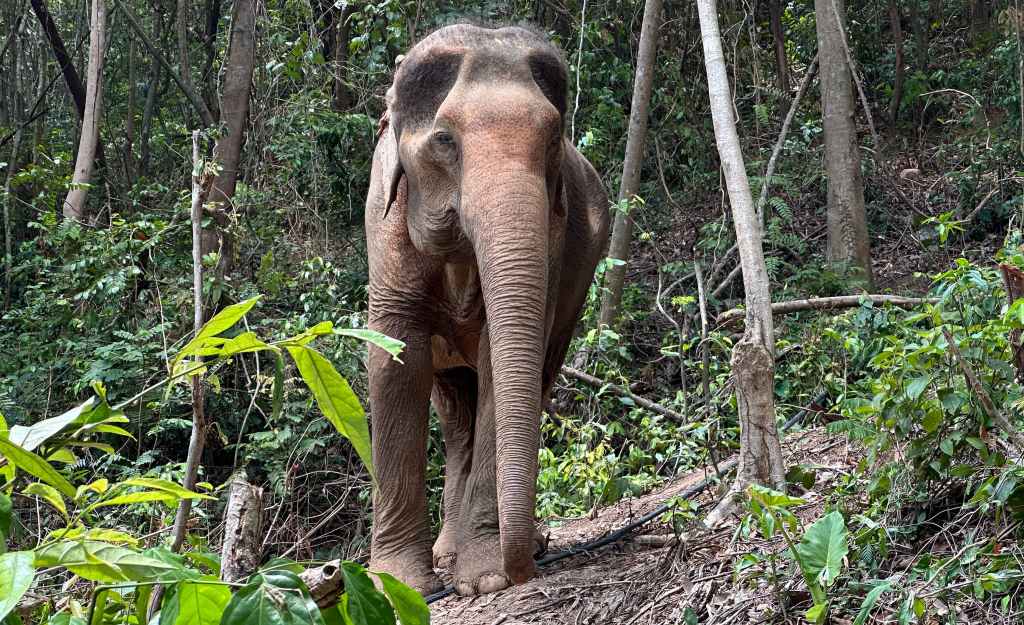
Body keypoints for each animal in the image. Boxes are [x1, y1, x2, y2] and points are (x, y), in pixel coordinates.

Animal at [363, 23, 609, 596]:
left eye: (553, 140)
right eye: (444, 140)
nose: (526, 564)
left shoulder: (554, 243)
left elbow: (504, 361)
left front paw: (486, 580)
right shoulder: (383, 229)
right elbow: (393, 365)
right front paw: (399, 584)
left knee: (533, 378)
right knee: (455, 418)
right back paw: (446, 556)